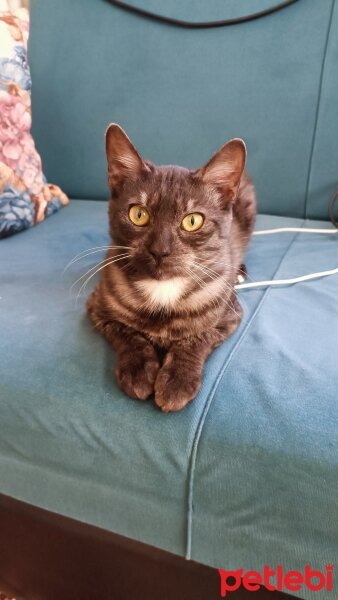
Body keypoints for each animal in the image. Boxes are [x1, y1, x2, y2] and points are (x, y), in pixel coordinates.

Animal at [86, 122, 255, 412]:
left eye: (193, 221)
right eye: (138, 214)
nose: (159, 250)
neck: (163, 289)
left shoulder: (230, 317)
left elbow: (197, 338)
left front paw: (177, 381)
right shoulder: (97, 309)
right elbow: (126, 333)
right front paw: (139, 370)